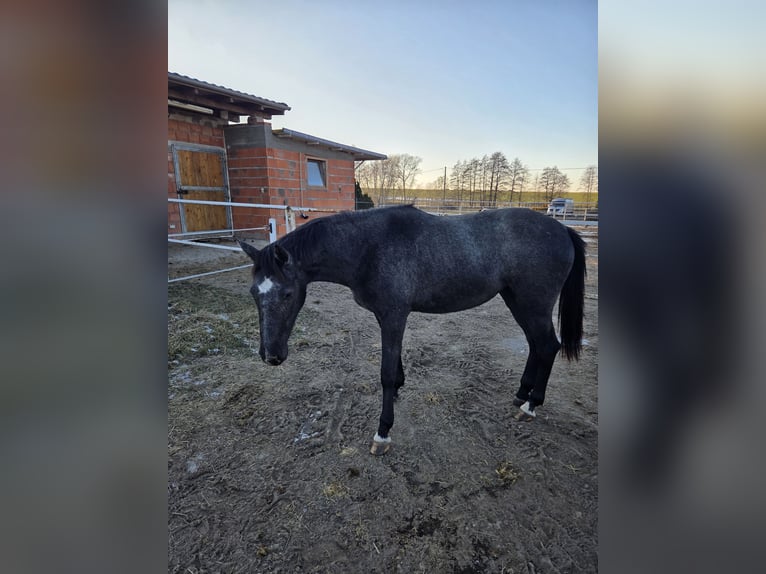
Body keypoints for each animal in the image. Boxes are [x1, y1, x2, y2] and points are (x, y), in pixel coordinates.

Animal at [239, 205, 586, 455]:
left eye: (287, 294)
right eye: (253, 293)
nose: (271, 356)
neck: (368, 247)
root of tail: (563, 229)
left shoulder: (394, 315)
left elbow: (385, 372)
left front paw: (383, 433)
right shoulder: (387, 316)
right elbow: (395, 364)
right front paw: (399, 389)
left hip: (532, 303)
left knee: (548, 346)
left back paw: (531, 405)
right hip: (516, 300)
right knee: (535, 345)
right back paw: (520, 395)